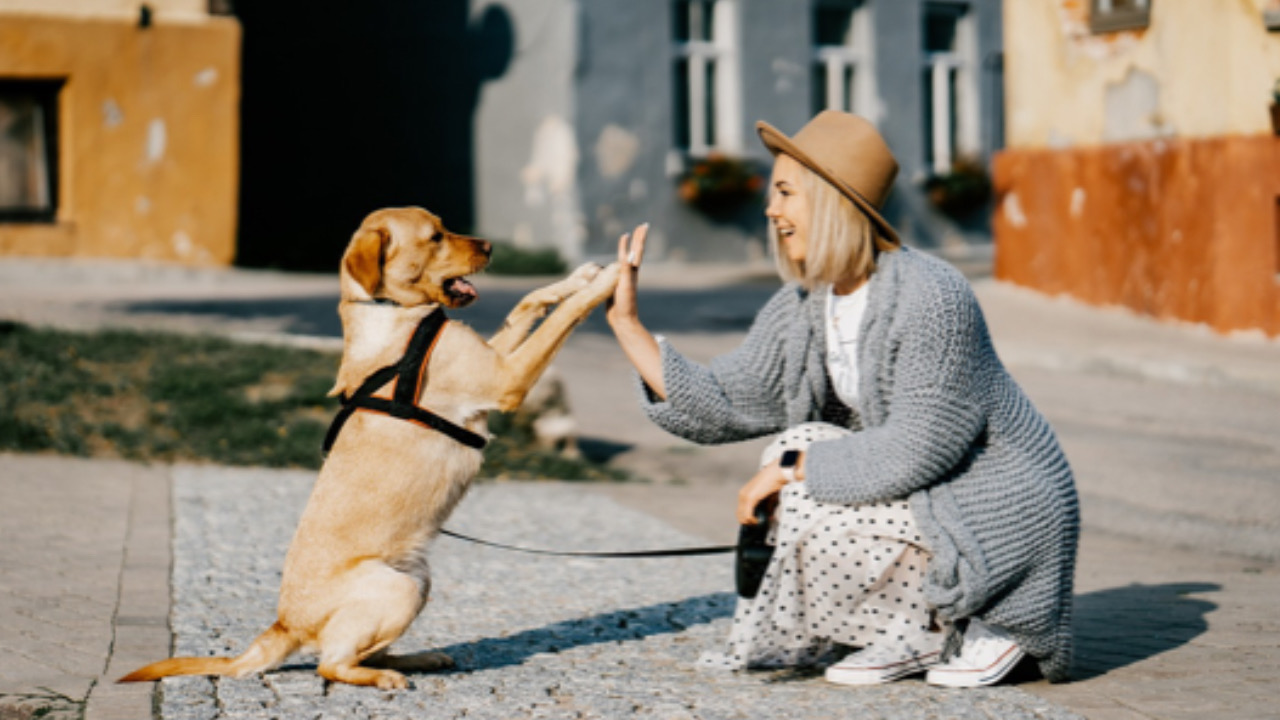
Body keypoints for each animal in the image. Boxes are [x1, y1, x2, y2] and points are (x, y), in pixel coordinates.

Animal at [122, 204, 622, 686]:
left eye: (444, 226)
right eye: (435, 236)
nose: (491, 246)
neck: (392, 312)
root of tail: (284, 625)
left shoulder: (495, 357)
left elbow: (527, 302)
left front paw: (580, 277)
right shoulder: (506, 378)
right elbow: (562, 317)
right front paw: (609, 280)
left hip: (418, 579)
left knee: (363, 652)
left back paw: (419, 659)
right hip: (397, 588)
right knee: (331, 664)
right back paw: (383, 677)